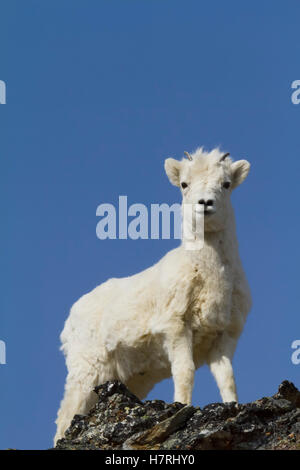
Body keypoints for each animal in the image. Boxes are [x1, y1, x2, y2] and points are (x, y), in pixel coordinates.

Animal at [54, 149, 251, 442]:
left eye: (226, 184)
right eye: (184, 184)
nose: (205, 204)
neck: (212, 278)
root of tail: (70, 320)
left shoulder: (223, 338)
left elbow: (227, 379)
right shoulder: (177, 329)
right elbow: (184, 373)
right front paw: (183, 407)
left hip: (130, 378)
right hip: (86, 372)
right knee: (65, 418)